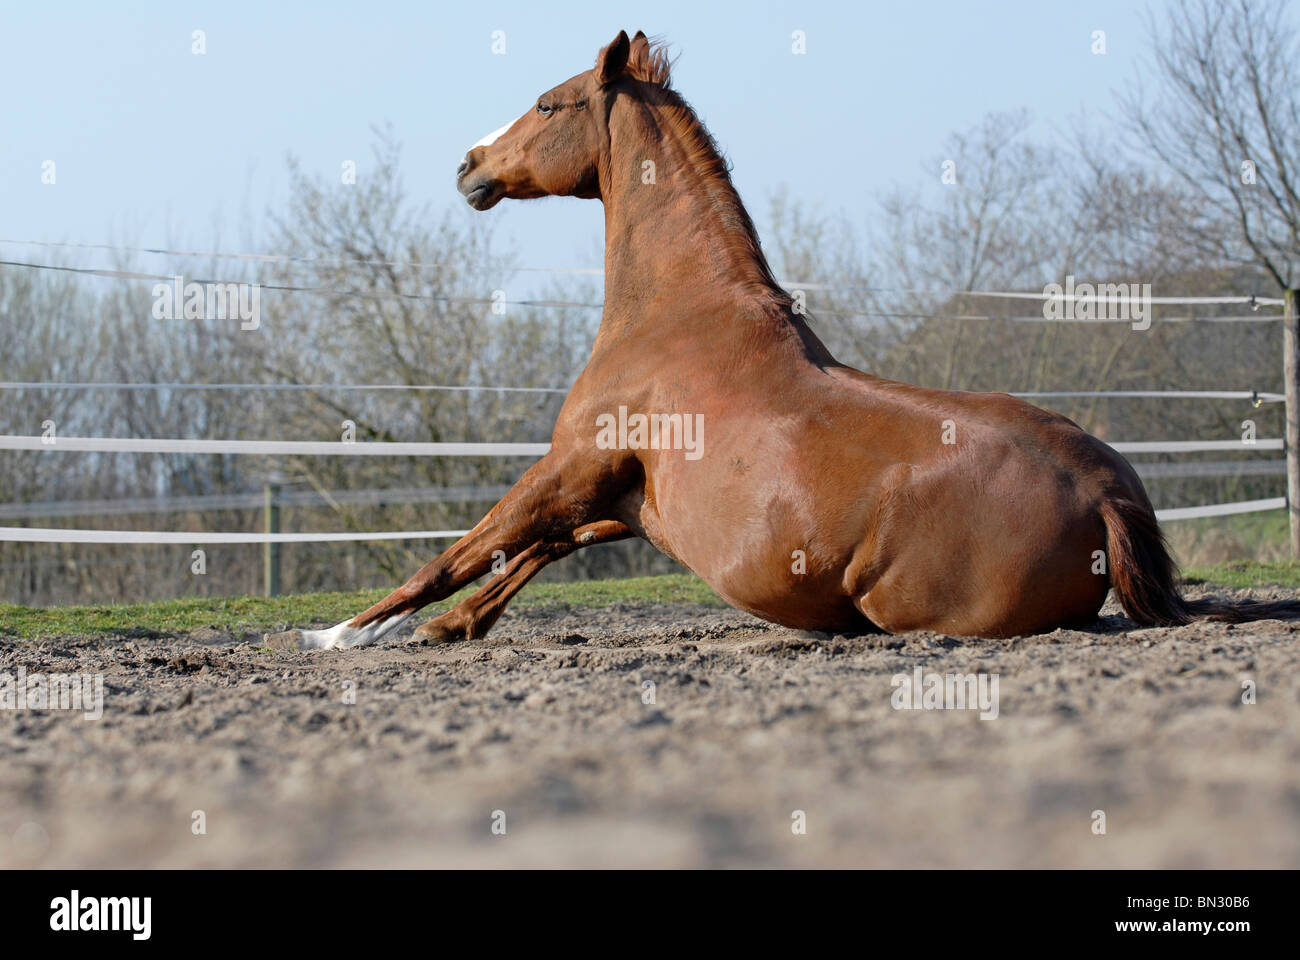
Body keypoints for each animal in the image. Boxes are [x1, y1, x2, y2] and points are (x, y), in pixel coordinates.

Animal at [275, 30, 1300, 650]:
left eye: (549, 102)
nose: (468, 167)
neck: (675, 318)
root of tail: (1104, 492)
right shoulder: (621, 497)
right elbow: (532, 552)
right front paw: (448, 629)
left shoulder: (570, 467)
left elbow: (462, 548)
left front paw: (342, 635)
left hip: (907, 606)